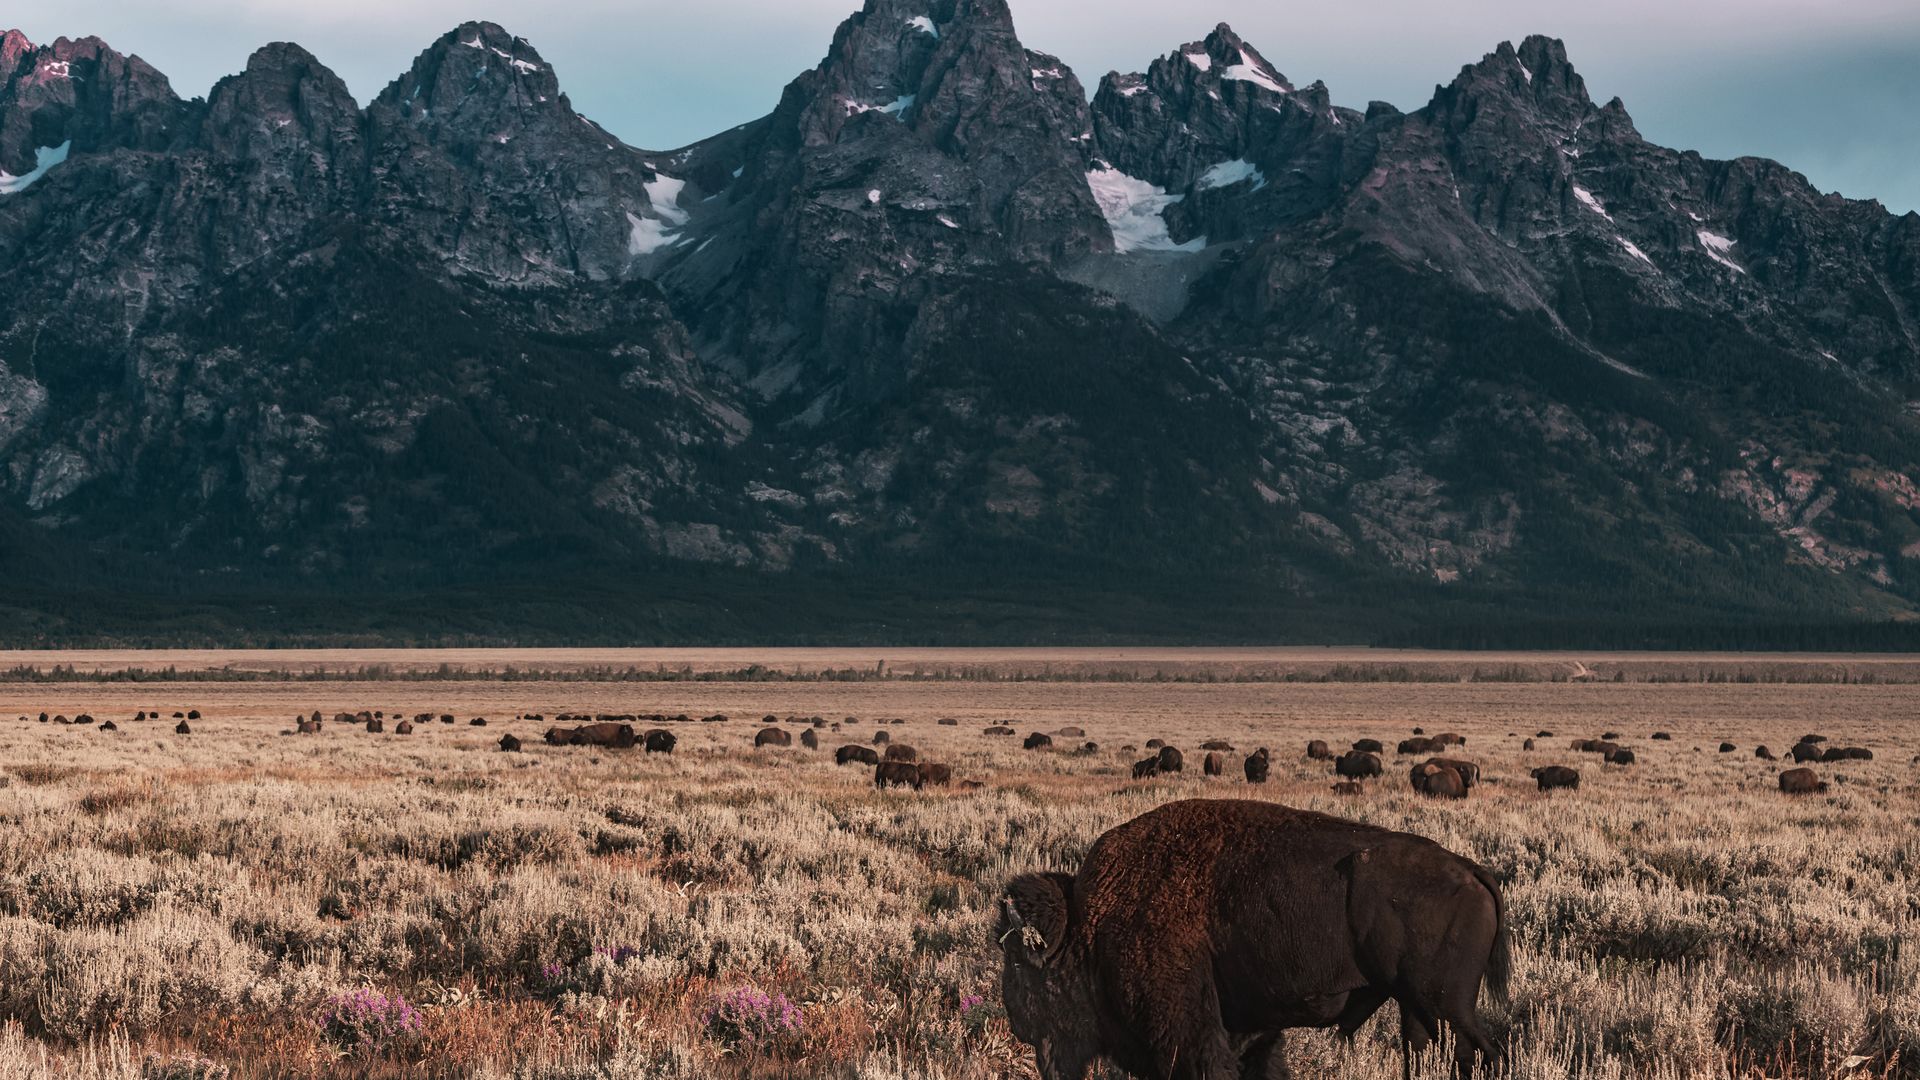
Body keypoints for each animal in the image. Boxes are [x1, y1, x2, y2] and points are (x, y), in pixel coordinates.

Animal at [998, 800, 1508, 1080]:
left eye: (1020, 962)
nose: (1018, 1022)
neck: (1090, 925)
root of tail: (1470, 871)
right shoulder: (1250, 1030)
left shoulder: (1188, 1034)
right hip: (1418, 1010)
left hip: (1447, 1006)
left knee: (1489, 1056)